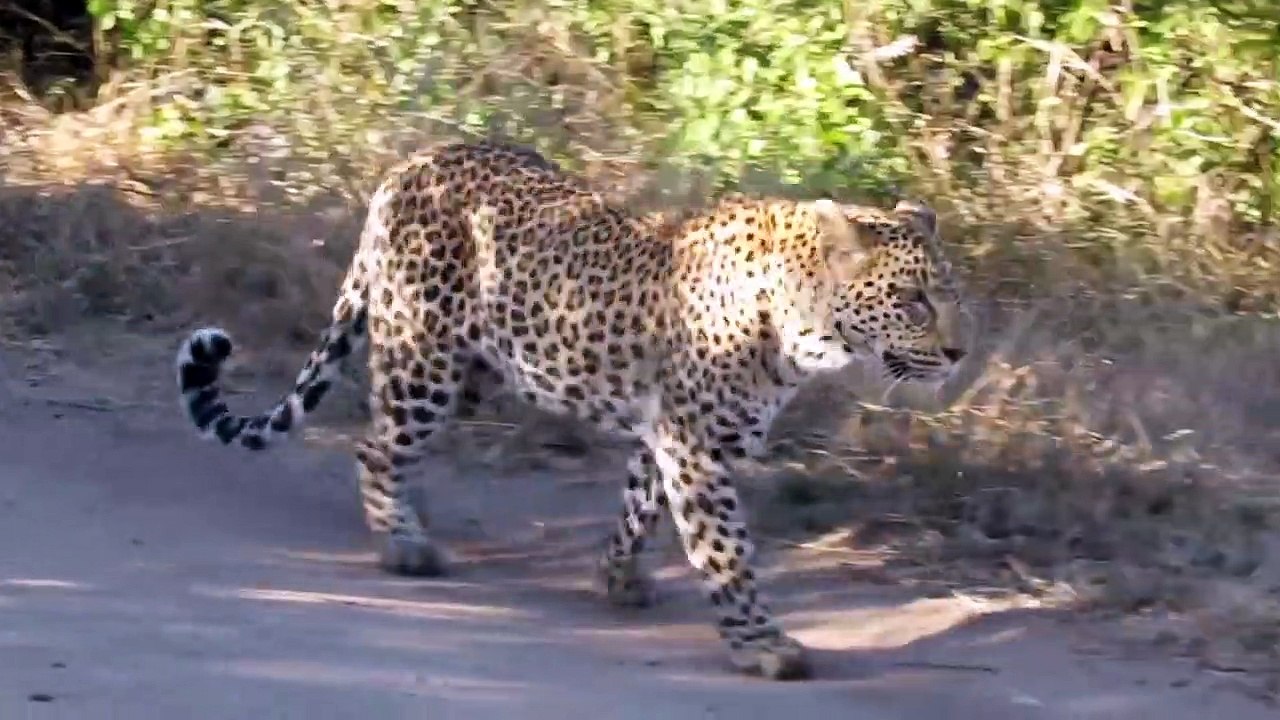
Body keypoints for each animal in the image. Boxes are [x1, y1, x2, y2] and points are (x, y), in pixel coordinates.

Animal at [174, 140, 969, 680]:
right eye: (912, 301)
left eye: (952, 295)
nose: (961, 353)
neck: (800, 327)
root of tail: (411, 163)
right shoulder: (695, 444)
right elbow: (727, 550)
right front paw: (760, 645)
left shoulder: (668, 435)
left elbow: (638, 510)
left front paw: (616, 579)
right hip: (424, 354)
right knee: (376, 445)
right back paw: (402, 543)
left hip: (476, 367)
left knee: (390, 441)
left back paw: (410, 516)